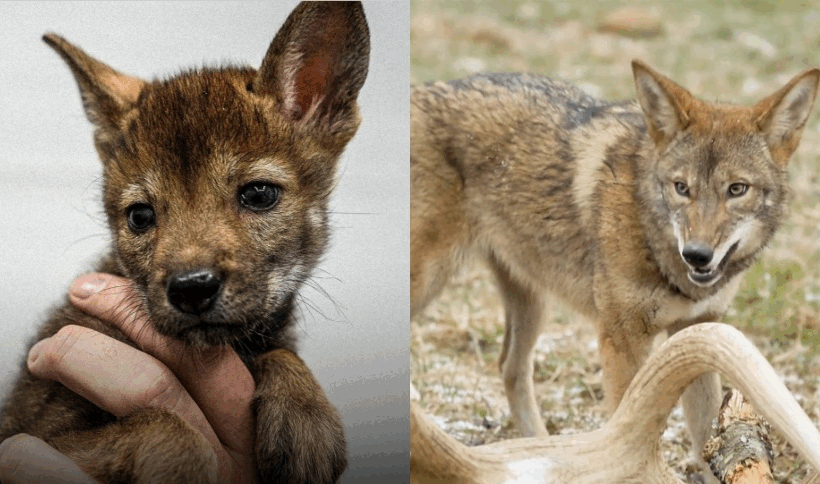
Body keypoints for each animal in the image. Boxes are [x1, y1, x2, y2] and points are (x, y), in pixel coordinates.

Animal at [0, 2, 369, 483]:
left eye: (259, 194)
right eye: (140, 216)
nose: (192, 288)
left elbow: (279, 353)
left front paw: (306, 414)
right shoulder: (38, 433)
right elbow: (166, 425)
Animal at [411, 60, 819, 474]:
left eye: (737, 189)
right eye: (681, 188)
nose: (697, 255)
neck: (652, 236)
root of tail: (420, 89)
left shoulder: (697, 329)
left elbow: (708, 435)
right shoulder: (621, 340)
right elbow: (627, 430)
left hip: (533, 303)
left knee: (510, 367)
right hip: (430, 281)